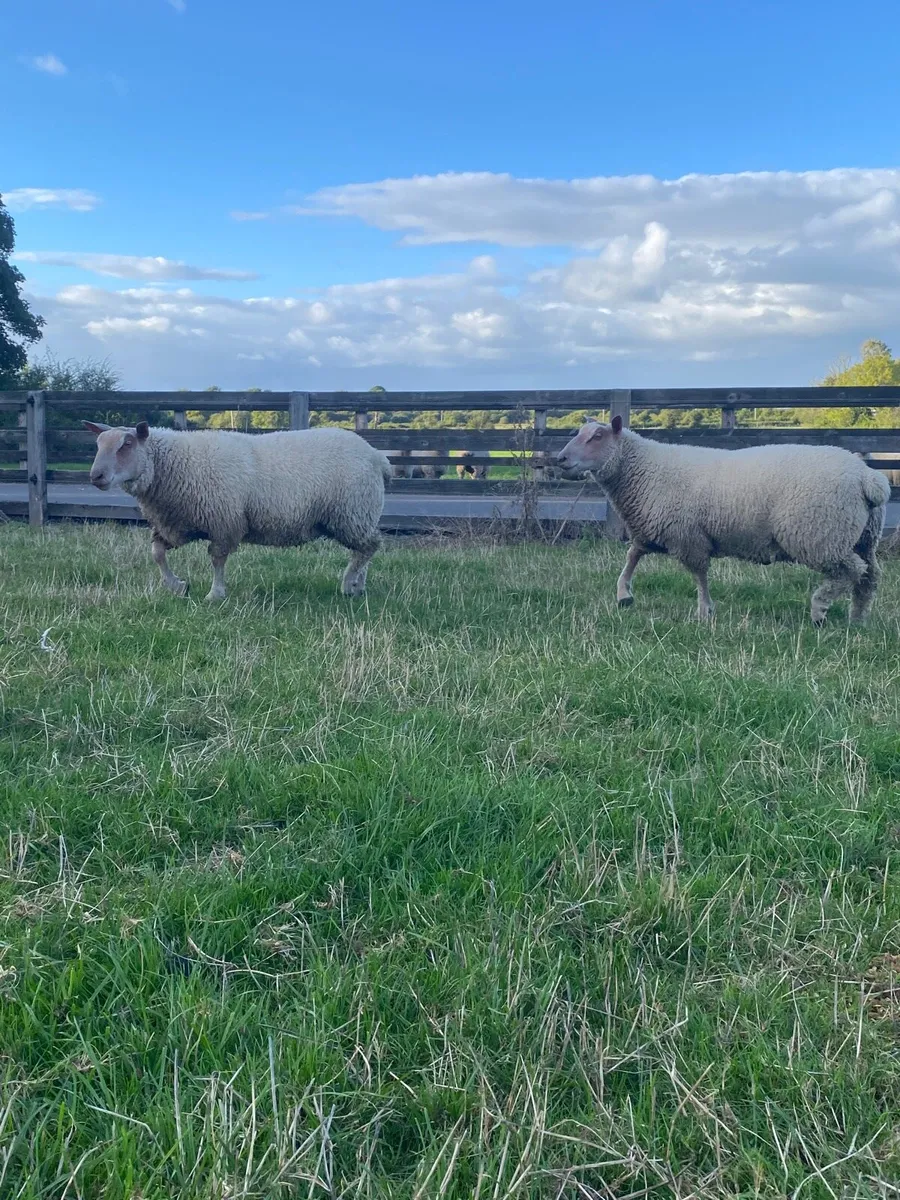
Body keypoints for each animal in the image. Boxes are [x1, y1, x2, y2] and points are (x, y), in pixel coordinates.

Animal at [85, 421, 391, 601]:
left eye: (126, 444)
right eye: (98, 445)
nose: (95, 476)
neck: (174, 463)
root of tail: (377, 456)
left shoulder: (224, 521)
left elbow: (217, 559)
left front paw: (215, 594)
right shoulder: (178, 524)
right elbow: (157, 554)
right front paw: (177, 586)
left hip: (351, 512)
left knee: (369, 546)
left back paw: (348, 583)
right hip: (357, 515)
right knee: (363, 551)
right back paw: (358, 586)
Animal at [557, 417, 891, 625]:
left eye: (597, 436)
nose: (560, 459)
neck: (642, 470)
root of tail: (869, 478)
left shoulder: (688, 537)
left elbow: (699, 575)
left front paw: (705, 611)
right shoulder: (655, 529)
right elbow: (632, 556)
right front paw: (623, 594)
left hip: (820, 535)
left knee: (851, 571)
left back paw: (820, 608)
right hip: (862, 536)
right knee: (870, 576)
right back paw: (858, 618)